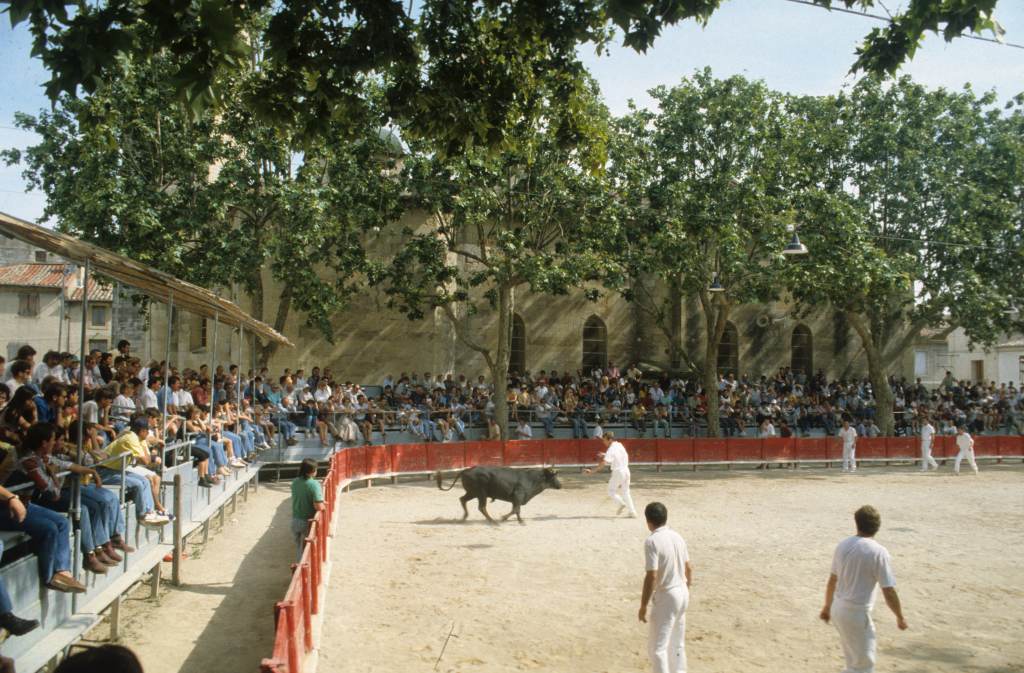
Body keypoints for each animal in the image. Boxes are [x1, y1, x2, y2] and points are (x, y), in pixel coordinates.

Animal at [432, 465, 561, 522]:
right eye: (554, 477)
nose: (560, 485)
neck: (532, 479)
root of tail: (466, 470)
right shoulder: (518, 496)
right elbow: (516, 509)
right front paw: (504, 518)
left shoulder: (516, 499)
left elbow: (516, 510)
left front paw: (519, 520)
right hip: (481, 493)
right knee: (482, 507)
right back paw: (493, 521)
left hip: (473, 493)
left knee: (462, 499)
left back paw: (464, 517)